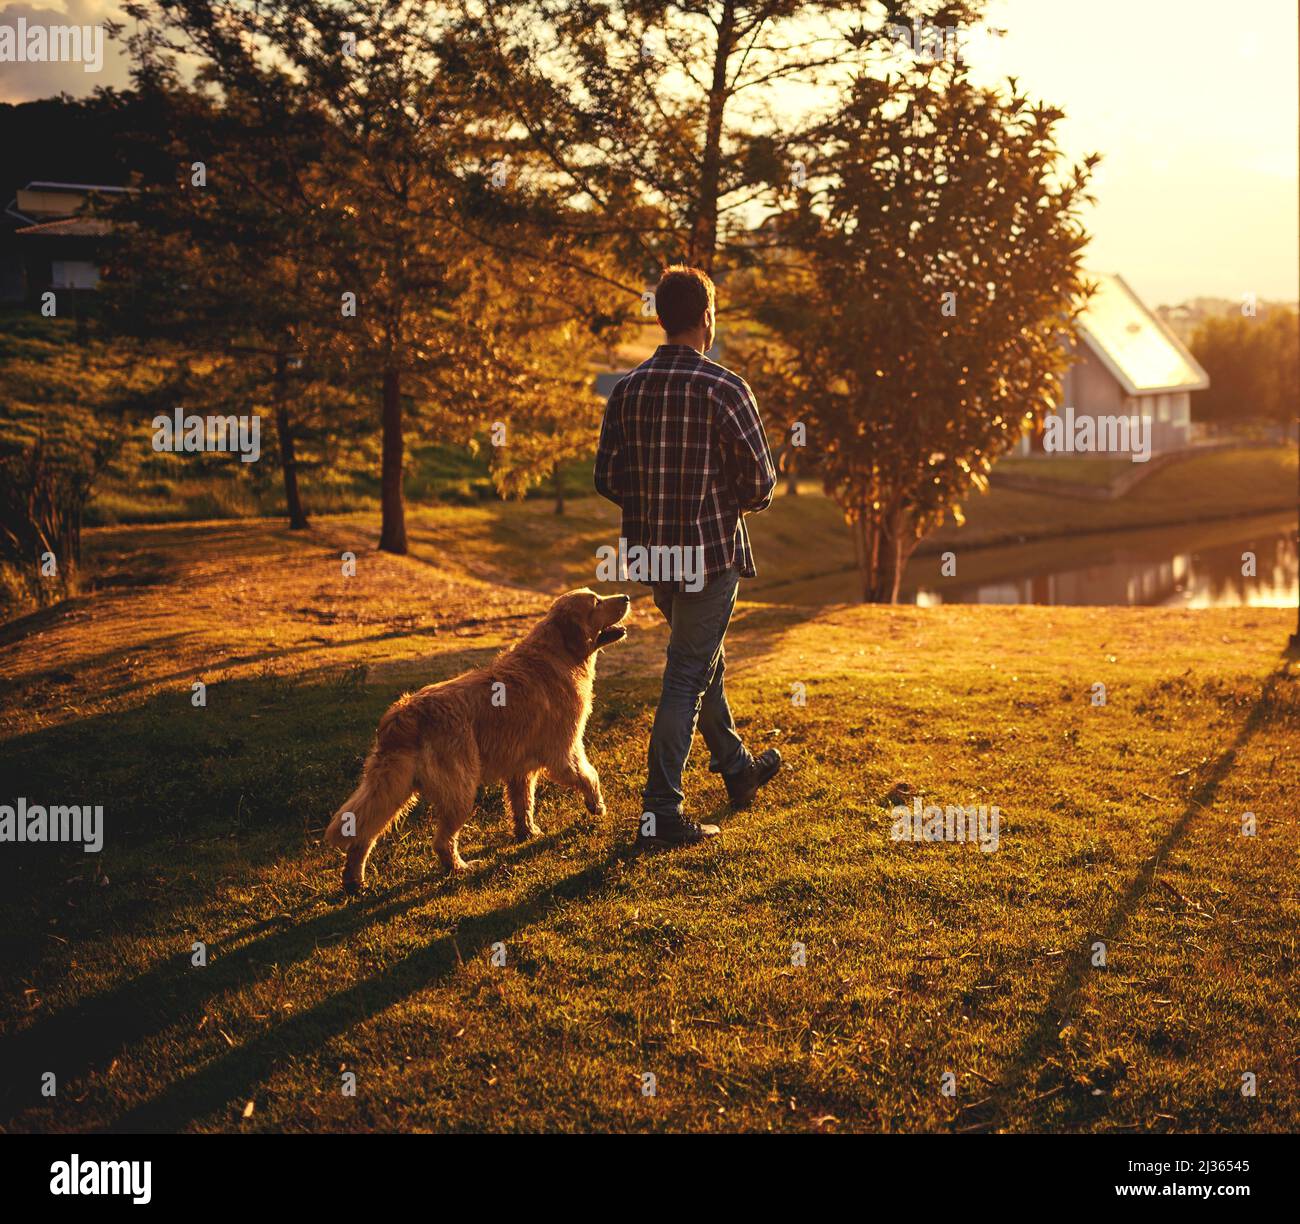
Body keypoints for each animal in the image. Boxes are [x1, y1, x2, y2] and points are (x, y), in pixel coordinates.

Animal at [323, 592, 629, 888]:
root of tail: (404, 714)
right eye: (597, 601)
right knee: (441, 842)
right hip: (459, 790)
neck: (559, 654)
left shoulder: (520, 768)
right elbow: (590, 776)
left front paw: (527, 832)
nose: (626, 597)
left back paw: (354, 880)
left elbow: (523, 804)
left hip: (391, 787)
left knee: (363, 833)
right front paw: (597, 806)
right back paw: (459, 867)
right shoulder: (564, 753)